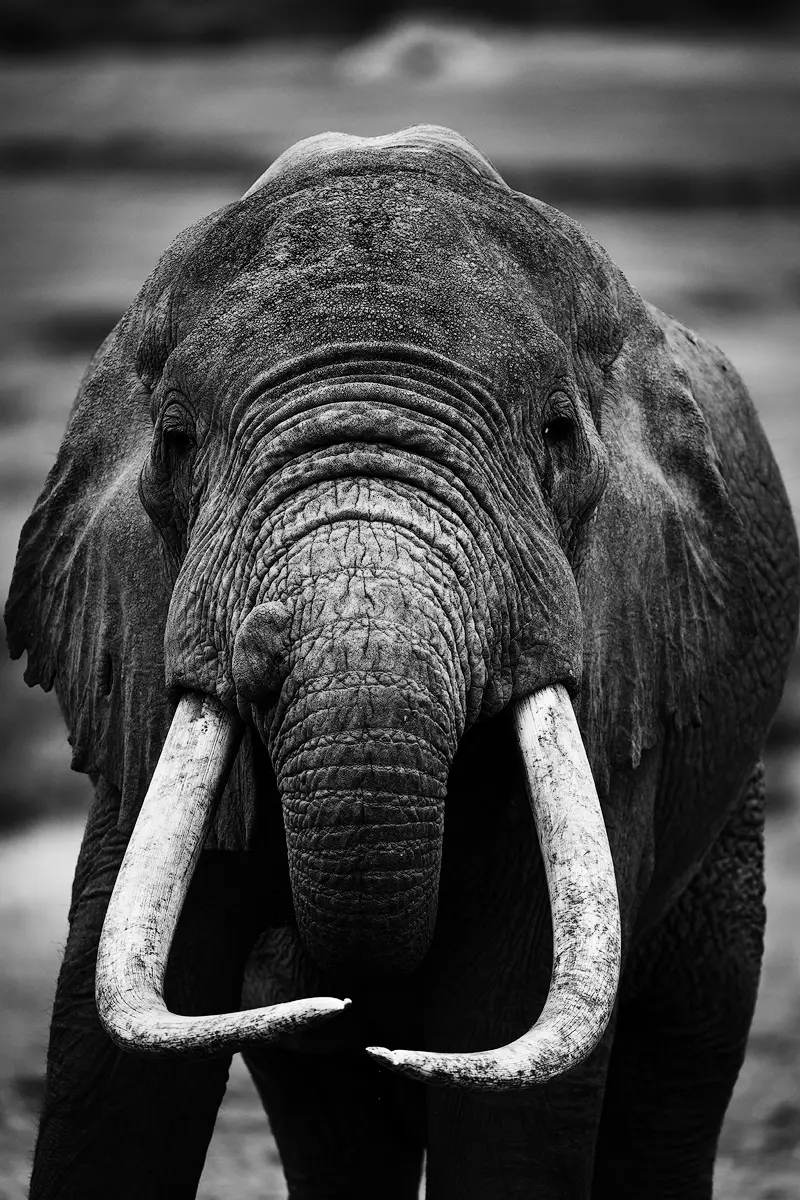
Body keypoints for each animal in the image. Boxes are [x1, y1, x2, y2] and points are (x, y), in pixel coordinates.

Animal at [6, 124, 799, 1199]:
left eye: (558, 432)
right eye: (174, 440)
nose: (264, 634)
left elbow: (506, 1045)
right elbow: (109, 1073)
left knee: (684, 1055)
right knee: (326, 1112)